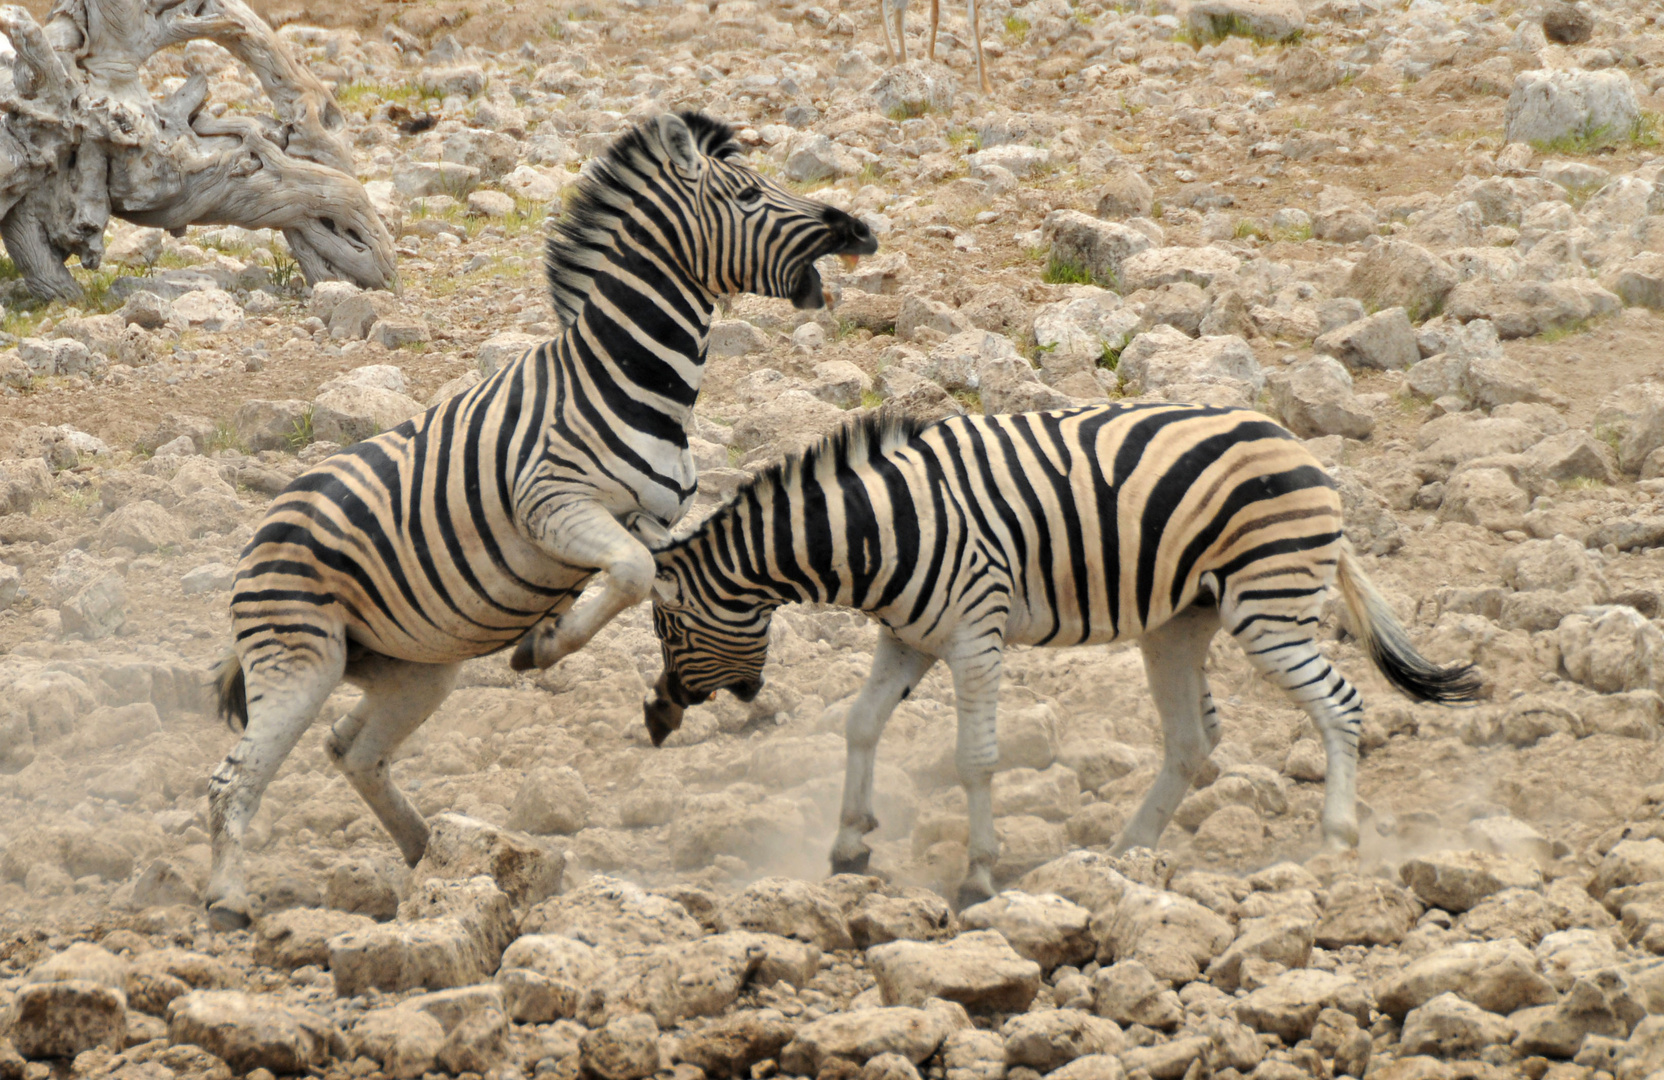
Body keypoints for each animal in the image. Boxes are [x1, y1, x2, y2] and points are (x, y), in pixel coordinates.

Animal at [206, 113, 878, 931]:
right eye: (749, 195)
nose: (861, 229)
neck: (626, 379)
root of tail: (259, 533)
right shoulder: (550, 505)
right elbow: (631, 575)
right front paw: (545, 645)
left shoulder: (655, 520)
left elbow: (657, 583)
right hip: (301, 657)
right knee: (233, 781)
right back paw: (230, 901)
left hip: (412, 668)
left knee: (351, 749)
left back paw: (432, 856)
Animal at [638, 402, 1484, 898]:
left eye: (666, 628)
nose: (656, 722)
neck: (879, 532)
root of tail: (1301, 448)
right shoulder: (907, 640)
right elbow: (860, 725)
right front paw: (849, 846)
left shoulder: (974, 635)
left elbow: (975, 758)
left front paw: (979, 873)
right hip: (1180, 620)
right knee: (1192, 739)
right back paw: (1124, 852)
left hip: (1267, 605)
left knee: (1339, 704)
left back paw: (1335, 840)